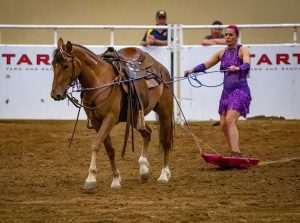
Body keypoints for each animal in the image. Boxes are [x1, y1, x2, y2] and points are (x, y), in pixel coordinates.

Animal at [50, 38, 173, 190]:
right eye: (53, 64)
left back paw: (164, 175)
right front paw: (116, 179)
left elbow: (96, 144)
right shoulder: (96, 121)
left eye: (66, 66)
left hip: (165, 112)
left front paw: (91, 178)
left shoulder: (110, 118)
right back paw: (144, 169)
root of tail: (161, 68)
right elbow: (109, 149)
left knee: (166, 141)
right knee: (147, 133)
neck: (100, 81)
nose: (55, 95)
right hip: (134, 117)